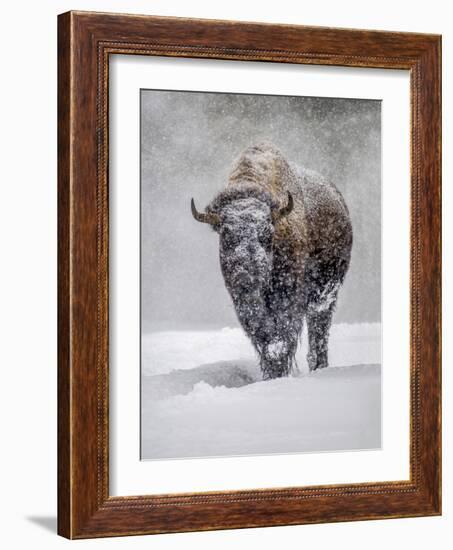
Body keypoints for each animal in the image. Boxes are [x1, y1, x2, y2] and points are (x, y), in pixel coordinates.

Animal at [189, 143, 352, 380]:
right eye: (226, 234)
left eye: (267, 234)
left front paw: (278, 372)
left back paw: (319, 366)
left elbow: (283, 334)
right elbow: (262, 333)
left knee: (319, 327)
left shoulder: (289, 292)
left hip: (327, 290)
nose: (247, 274)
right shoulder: (242, 299)